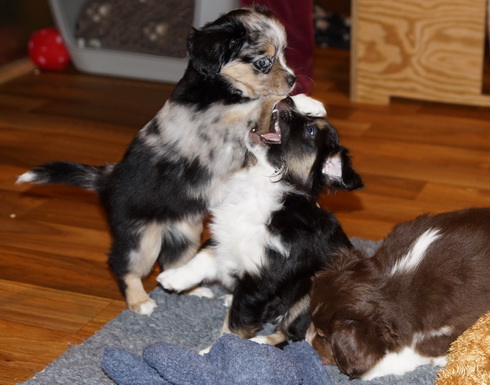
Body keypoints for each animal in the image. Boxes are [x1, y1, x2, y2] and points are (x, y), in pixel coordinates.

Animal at [16, 7, 294, 316]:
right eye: (263, 62)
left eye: (284, 54)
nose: (293, 80)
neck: (216, 89)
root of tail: (107, 179)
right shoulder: (223, 124)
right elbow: (258, 107)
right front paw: (285, 101)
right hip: (141, 240)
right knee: (123, 265)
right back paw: (139, 301)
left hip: (184, 233)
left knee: (171, 262)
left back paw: (192, 289)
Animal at [158, 94, 364, 344]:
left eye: (311, 130)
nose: (287, 99)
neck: (262, 185)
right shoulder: (225, 238)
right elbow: (203, 256)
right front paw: (175, 277)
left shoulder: (260, 281)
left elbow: (237, 323)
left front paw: (218, 350)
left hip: (311, 293)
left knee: (290, 333)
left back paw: (260, 342)